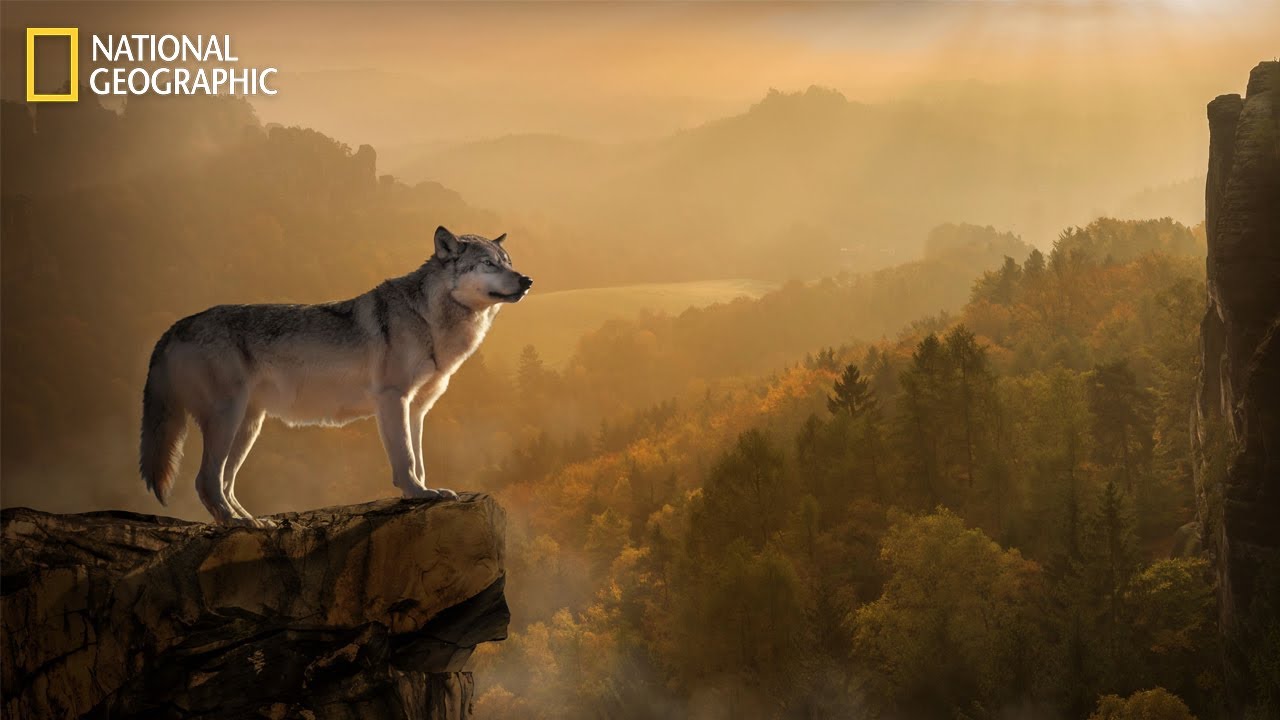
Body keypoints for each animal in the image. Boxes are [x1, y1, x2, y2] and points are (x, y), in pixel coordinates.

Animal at [141, 224, 535, 520]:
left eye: (508, 262)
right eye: (488, 264)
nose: (527, 280)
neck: (429, 318)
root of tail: (176, 326)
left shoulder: (418, 408)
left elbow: (420, 459)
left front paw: (424, 491)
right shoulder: (392, 400)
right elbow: (406, 458)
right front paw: (417, 493)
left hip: (249, 425)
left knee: (224, 482)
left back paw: (254, 521)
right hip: (228, 418)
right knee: (206, 481)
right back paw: (240, 526)